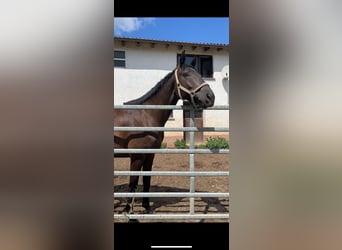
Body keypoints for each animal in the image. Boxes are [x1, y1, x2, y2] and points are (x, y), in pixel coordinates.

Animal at [113, 50, 215, 213]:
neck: (146, 116)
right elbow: (133, 183)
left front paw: (147, 207)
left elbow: (147, 180)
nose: (210, 97)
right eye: (186, 74)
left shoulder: (150, 155)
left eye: (199, 73)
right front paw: (128, 211)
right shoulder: (136, 156)